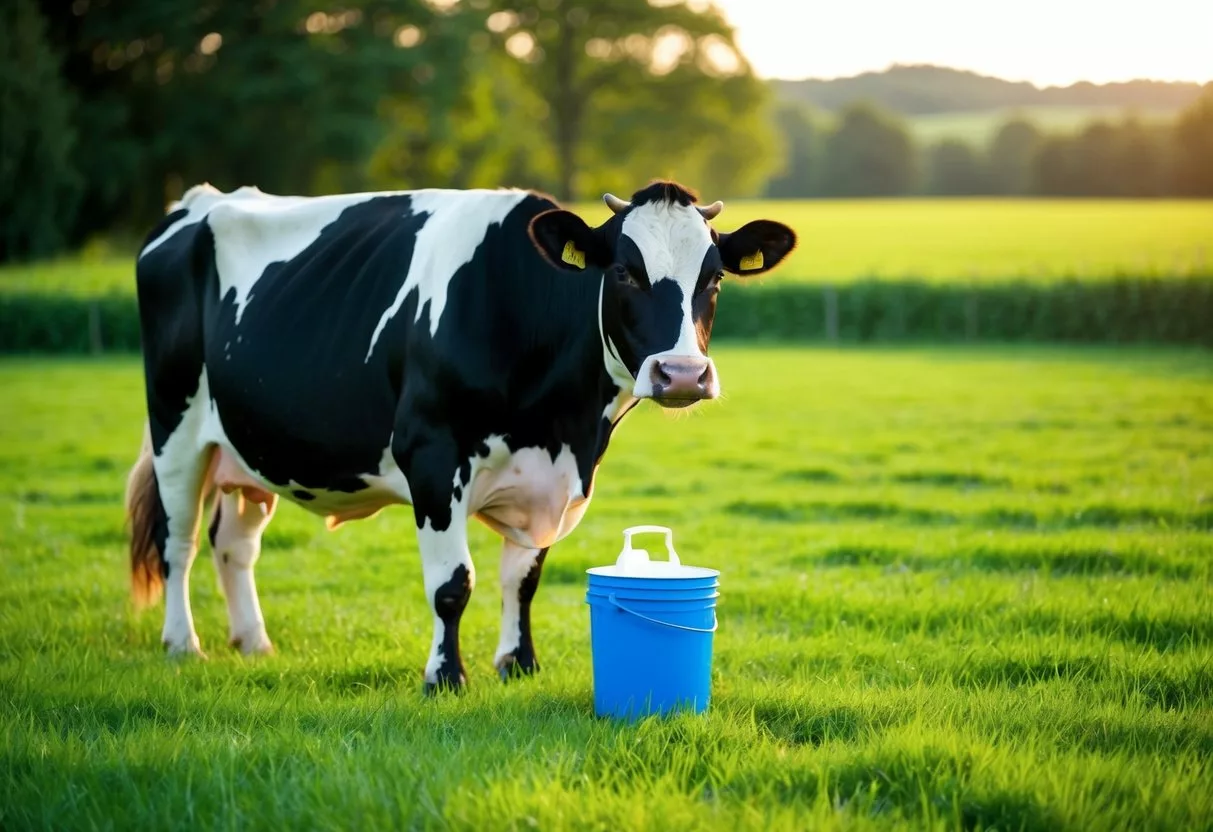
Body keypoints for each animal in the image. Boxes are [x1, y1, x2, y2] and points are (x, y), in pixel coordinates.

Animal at [125, 179, 795, 693]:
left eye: (713, 279)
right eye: (626, 273)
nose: (681, 373)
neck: (560, 419)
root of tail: (198, 203)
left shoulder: (554, 478)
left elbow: (522, 579)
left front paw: (519, 665)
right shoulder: (431, 454)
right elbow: (453, 583)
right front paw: (445, 677)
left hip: (252, 449)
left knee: (233, 545)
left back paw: (254, 643)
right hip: (175, 430)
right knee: (178, 541)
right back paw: (184, 644)